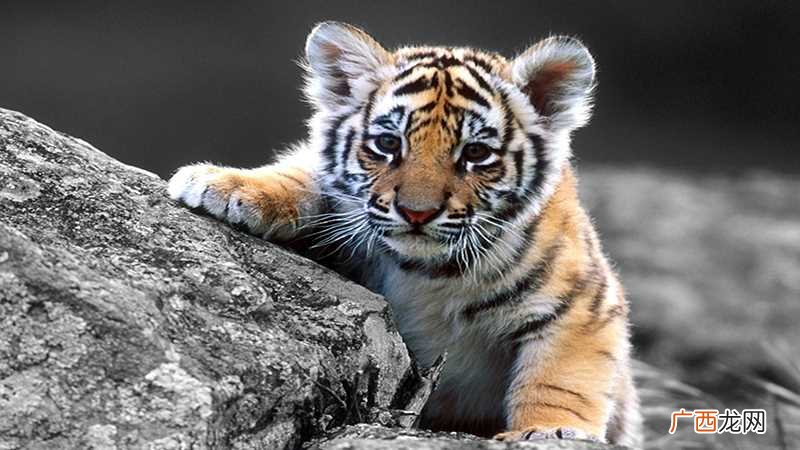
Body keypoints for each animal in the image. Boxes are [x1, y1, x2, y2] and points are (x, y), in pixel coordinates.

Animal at [167, 21, 642, 447]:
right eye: (388, 144)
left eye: (475, 153)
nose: (417, 212)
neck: (427, 272)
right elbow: (303, 175)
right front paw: (222, 184)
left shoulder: (584, 307)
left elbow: (560, 380)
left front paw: (548, 430)